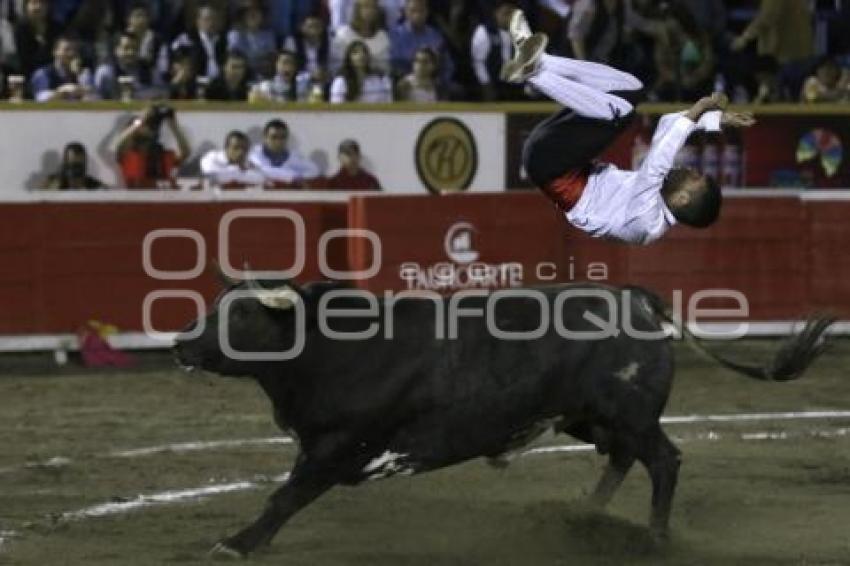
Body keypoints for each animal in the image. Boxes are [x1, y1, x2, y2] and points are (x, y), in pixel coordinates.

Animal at [174, 280, 836, 560]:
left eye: (238, 316)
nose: (181, 341)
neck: (324, 347)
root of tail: (635, 297)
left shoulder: (336, 448)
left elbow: (284, 497)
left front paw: (236, 544)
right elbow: (285, 496)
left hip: (629, 413)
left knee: (664, 460)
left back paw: (653, 537)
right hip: (587, 417)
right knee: (625, 458)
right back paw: (586, 516)